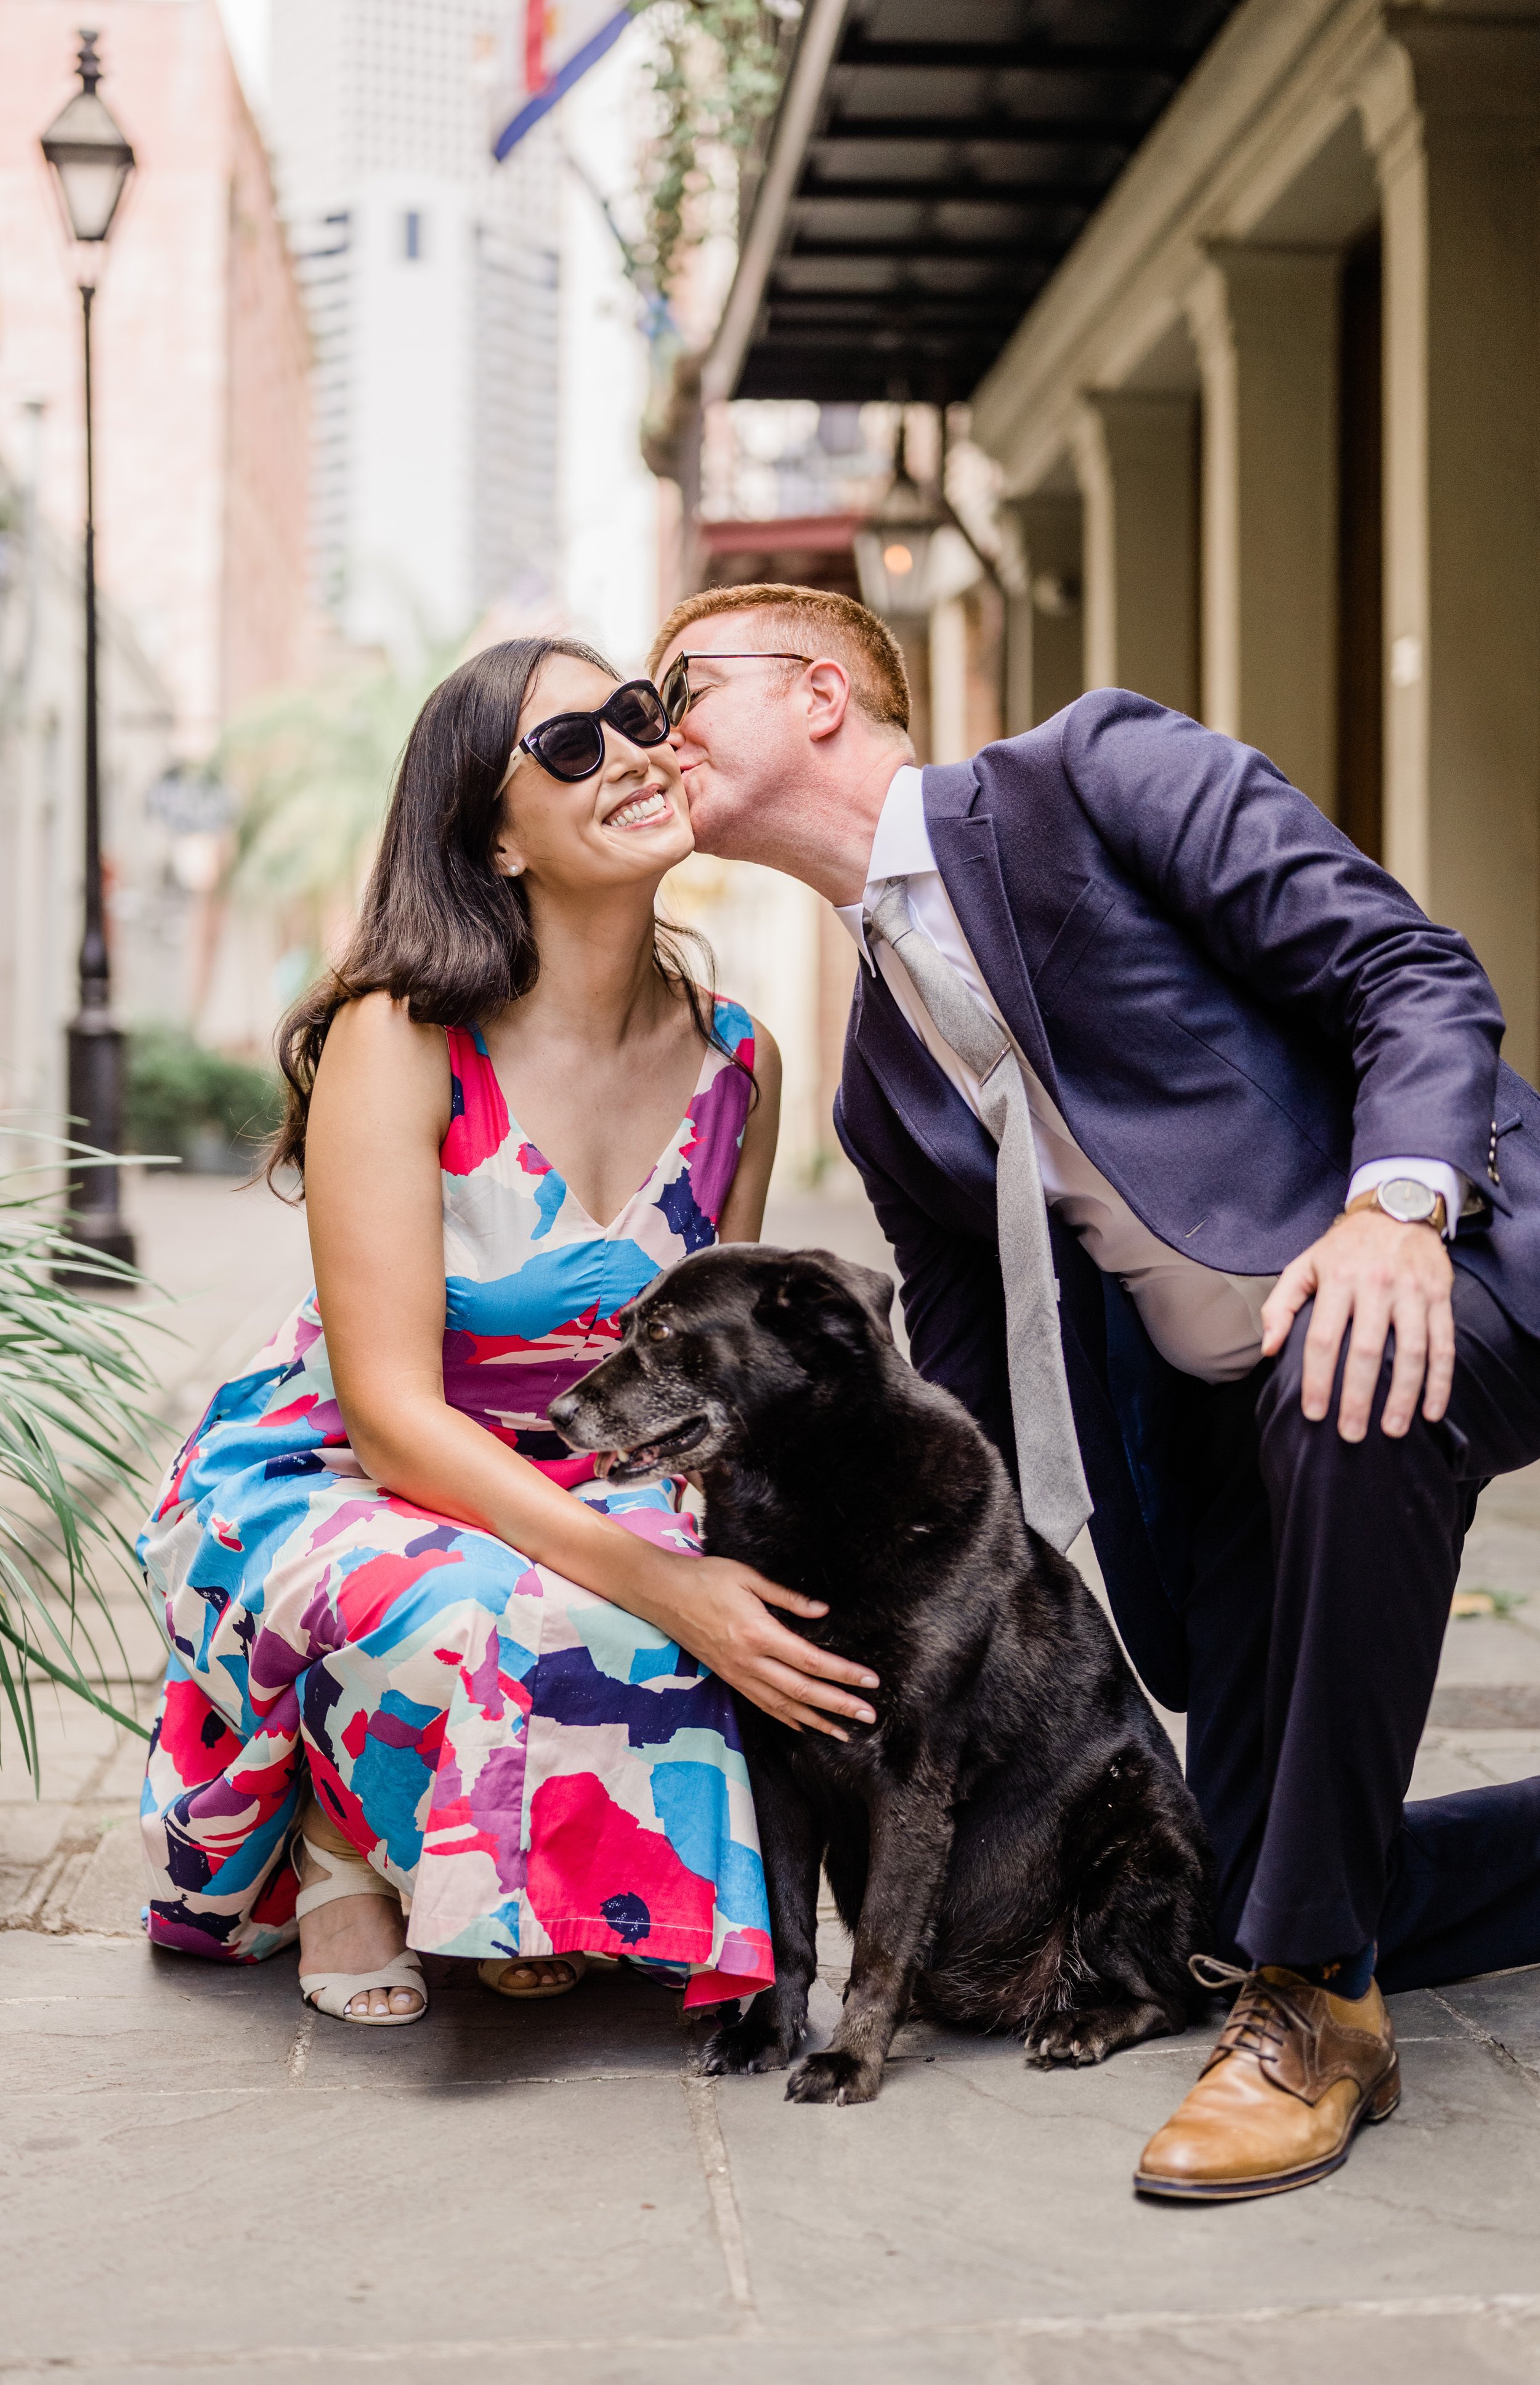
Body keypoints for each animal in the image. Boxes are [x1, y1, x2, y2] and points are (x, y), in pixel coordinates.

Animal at [548, 1249, 1210, 2108]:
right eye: (625, 1324)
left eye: (660, 1332)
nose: (557, 1414)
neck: (807, 1494)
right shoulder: (775, 1773)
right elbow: (789, 1929)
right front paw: (767, 2033)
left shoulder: (909, 1782)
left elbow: (882, 1945)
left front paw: (850, 2061)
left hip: (1136, 1831)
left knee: (1171, 1996)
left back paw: (1081, 2024)